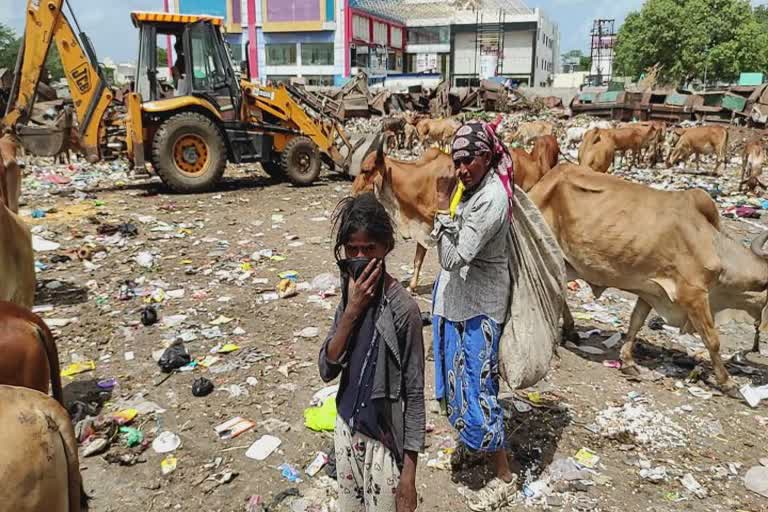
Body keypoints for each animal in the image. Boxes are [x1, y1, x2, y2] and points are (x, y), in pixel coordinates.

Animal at [528, 164, 768, 392]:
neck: (716, 248)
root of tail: (548, 177)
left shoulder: (650, 291)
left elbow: (636, 322)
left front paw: (627, 362)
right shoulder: (693, 295)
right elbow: (712, 340)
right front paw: (728, 383)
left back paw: (571, 331)